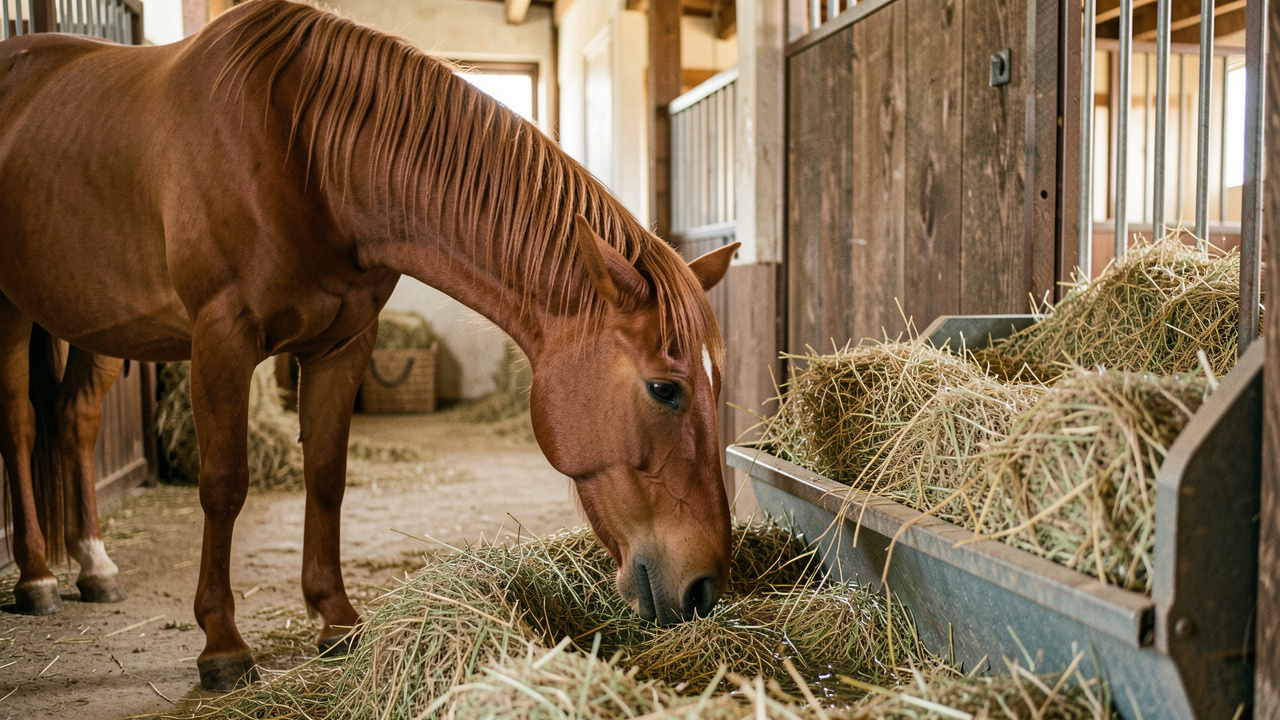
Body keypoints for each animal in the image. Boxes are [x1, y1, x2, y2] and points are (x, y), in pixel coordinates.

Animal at [0, 0, 739, 692]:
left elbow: (327, 477)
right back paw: (36, 578)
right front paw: (222, 644)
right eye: (665, 389)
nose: (705, 588)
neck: (303, 149)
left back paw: (94, 566)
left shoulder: (344, 344)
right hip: (11, 315)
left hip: (95, 320)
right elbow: (224, 484)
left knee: (75, 420)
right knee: (21, 426)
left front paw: (336, 620)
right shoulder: (222, 338)